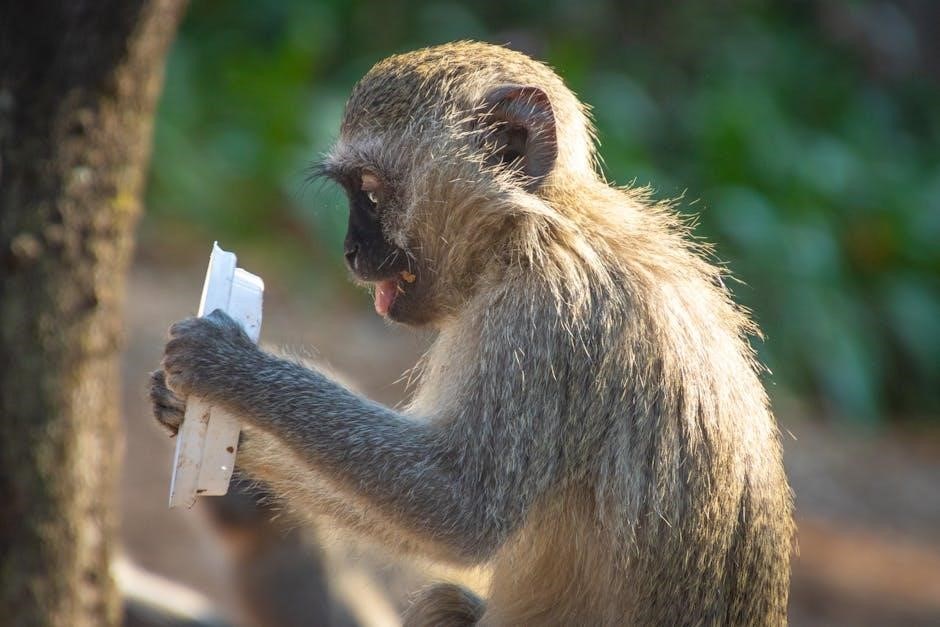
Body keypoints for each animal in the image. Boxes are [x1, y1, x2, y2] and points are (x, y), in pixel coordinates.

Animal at [150, 41, 794, 625]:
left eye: (370, 190)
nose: (350, 252)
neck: (534, 226)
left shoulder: (543, 318)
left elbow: (461, 508)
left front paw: (232, 369)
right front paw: (214, 428)